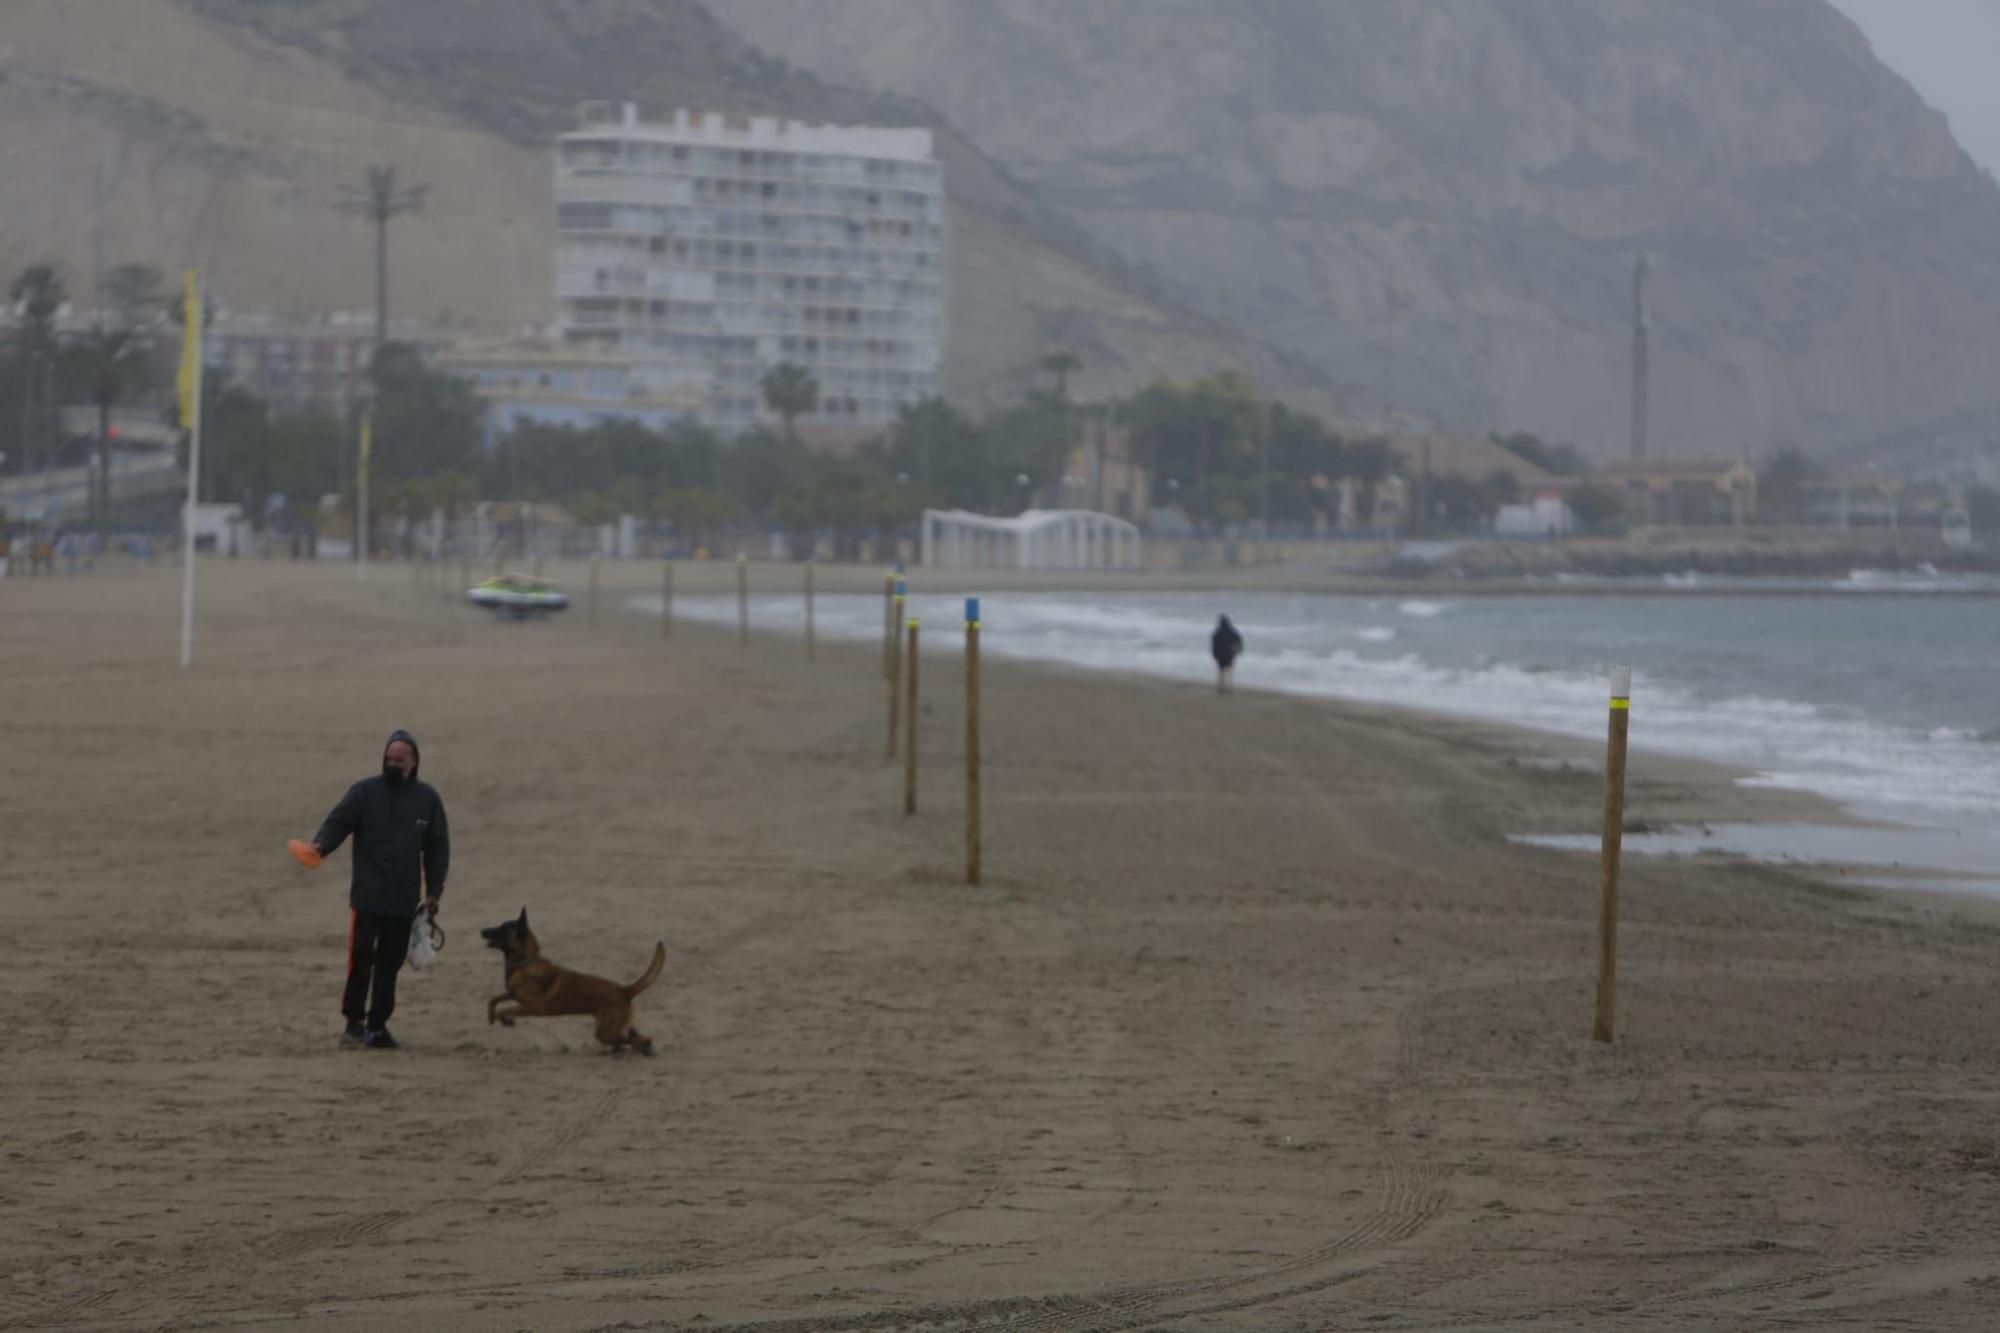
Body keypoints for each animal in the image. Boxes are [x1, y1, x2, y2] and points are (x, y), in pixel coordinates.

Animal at [480, 904, 668, 1048]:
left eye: (502, 928)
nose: (482, 930)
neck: (525, 961)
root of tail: (625, 990)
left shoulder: (532, 1007)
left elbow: (504, 1009)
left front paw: (504, 1019)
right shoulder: (513, 994)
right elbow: (493, 999)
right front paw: (491, 1016)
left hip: (605, 1031)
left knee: (636, 1040)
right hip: (614, 1026)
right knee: (636, 1037)